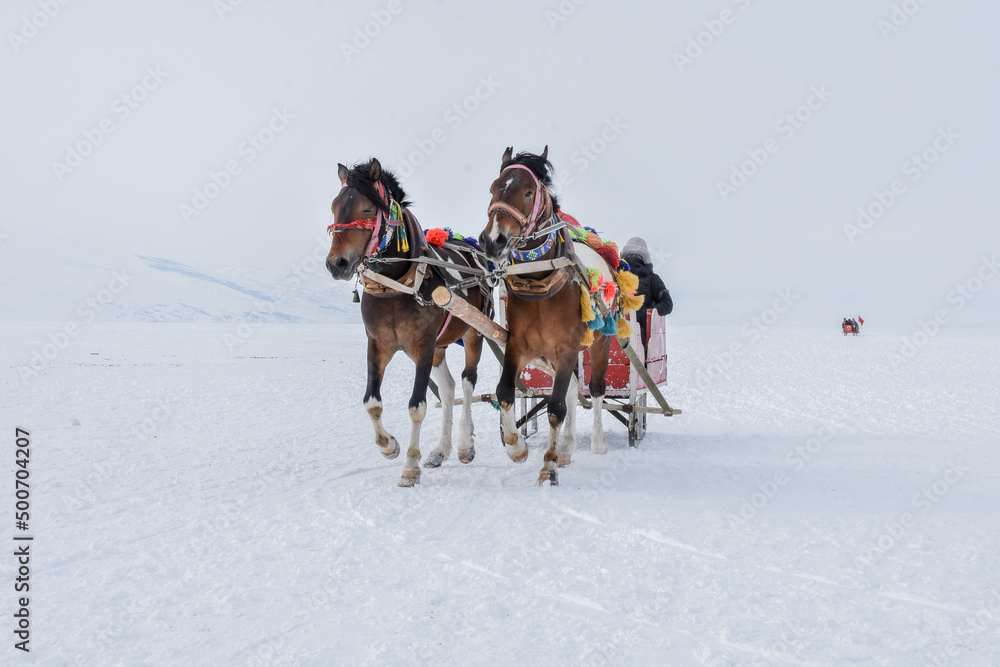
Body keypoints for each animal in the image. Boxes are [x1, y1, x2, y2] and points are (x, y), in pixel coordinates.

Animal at [328, 159, 488, 488]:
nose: (336, 263)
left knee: (467, 383)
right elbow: (371, 402)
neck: (396, 286)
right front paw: (389, 446)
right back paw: (440, 450)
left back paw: (465, 444)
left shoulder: (422, 345)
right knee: (449, 389)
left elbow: (417, 406)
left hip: (473, 333)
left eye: (366, 209)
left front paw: (410, 467)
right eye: (335, 207)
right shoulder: (378, 345)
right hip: (440, 346)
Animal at [478, 149, 612, 488]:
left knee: (596, 389)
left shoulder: (567, 349)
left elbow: (555, 407)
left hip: (599, 343)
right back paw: (566, 447)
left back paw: (597, 442)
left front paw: (548, 465)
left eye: (528, 192)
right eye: (492, 188)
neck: (540, 283)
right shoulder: (518, 346)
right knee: (573, 388)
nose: (493, 240)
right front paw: (516, 447)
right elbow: (505, 392)